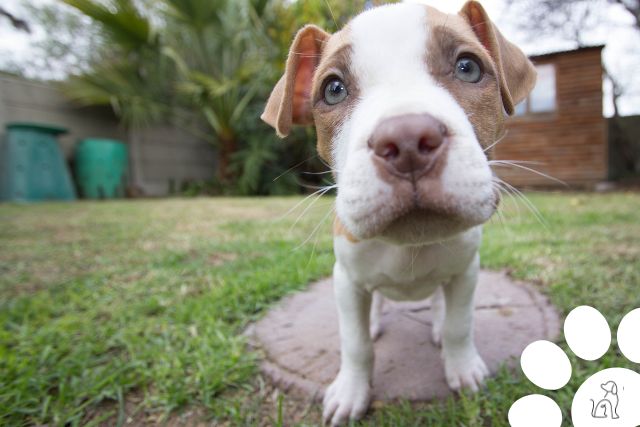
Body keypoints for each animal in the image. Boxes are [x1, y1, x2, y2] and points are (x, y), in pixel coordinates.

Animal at [260, 1, 536, 426]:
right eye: (333, 89)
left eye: (468, 67)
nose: (407, 140)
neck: (410, 244)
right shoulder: (346, 279)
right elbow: (355, 343)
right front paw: (351, 391)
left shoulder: (467, 271)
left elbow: (459, 324)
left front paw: (462, 367)